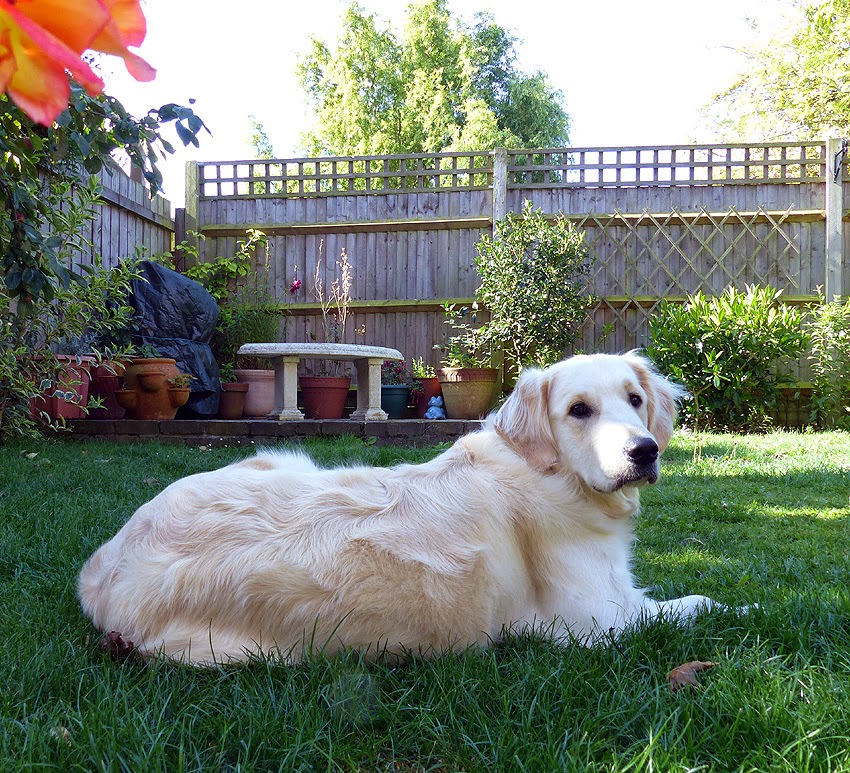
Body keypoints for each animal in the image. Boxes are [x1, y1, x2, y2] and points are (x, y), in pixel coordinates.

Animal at [78, 352, 719, 665]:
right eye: (578, 410)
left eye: (634, 400)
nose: (645, 450)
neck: (553, 472)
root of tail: (104, 566)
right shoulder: (594, 626)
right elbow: (695, 605)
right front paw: (732, 603)